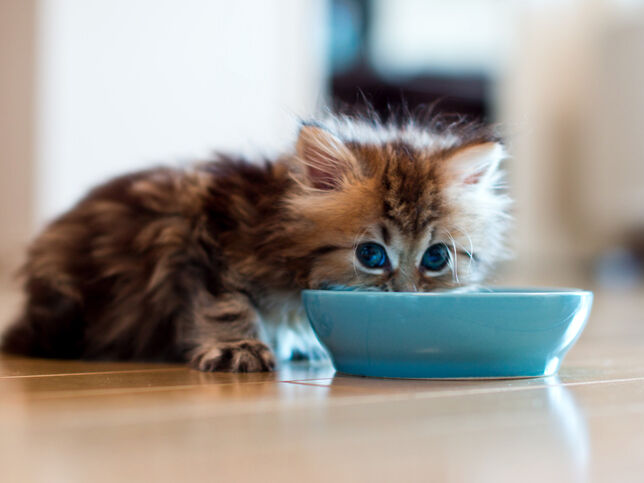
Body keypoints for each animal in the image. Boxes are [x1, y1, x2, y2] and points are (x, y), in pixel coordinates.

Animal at [2, 113, 510, 374]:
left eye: (436, 257)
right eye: (371, 255)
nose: (405, 298)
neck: (273, 224)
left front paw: (297, 339)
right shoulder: (202, 237)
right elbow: (226, 303)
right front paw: (238, 348)